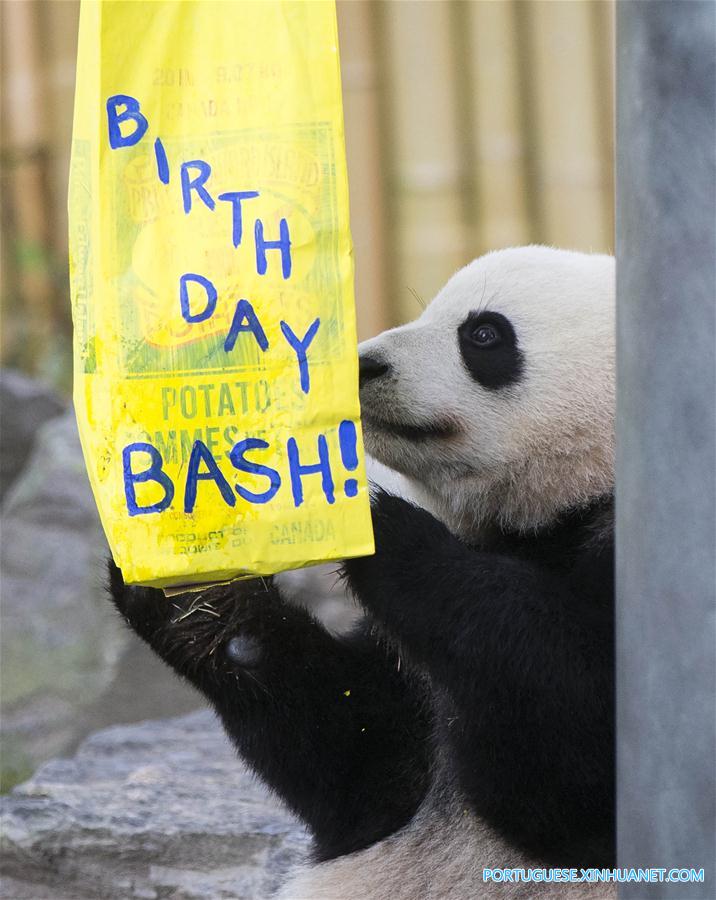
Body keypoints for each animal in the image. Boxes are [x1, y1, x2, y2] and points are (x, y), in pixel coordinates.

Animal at [109, 246, 620, 900]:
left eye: (484, 334)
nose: (366, 365)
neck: (553, 515)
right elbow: (362, 764)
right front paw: (202, 600)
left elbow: (575, 750)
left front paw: (378, 521)